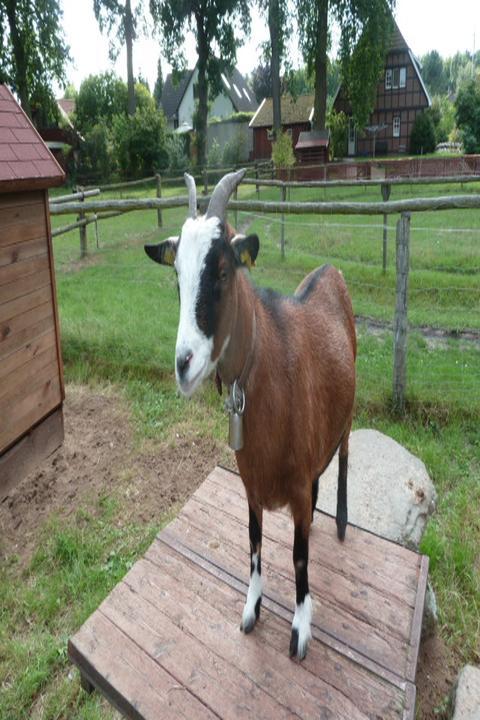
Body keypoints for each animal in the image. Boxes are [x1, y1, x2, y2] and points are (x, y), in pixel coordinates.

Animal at [145, 169, 356, 660]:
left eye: (223, 271)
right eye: (177, 278)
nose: (184, 365)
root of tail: (330, 270)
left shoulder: (294, 487)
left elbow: (298, 556)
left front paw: (300, 627)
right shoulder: (250, 483)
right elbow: (255, 542)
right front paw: (251, 608)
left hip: (350, 412)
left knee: (344, 455)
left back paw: (338, 518)